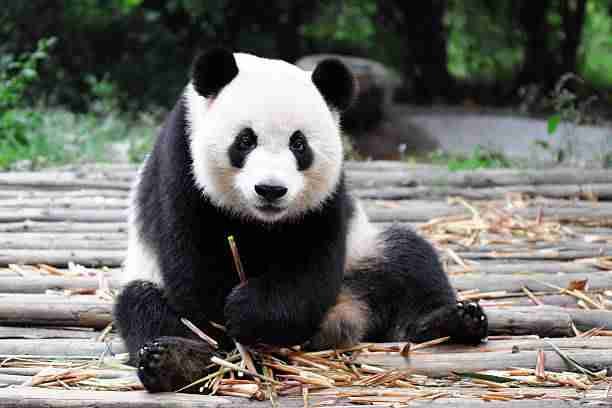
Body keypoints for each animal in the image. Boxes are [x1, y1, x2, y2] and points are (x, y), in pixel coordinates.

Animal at [113, 49, 488, 394]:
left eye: (299, 144)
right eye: (245, 140)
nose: (270, 189)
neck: (260, 220)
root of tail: (350, 316)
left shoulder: (326, 198)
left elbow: (311, 266)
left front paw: (249, 313)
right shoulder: (181, 165)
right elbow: (193, 265)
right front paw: (228, 334)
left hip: (363, 256)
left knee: (408, 258)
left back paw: (454, 322)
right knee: (141, 305)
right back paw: (175, 363)